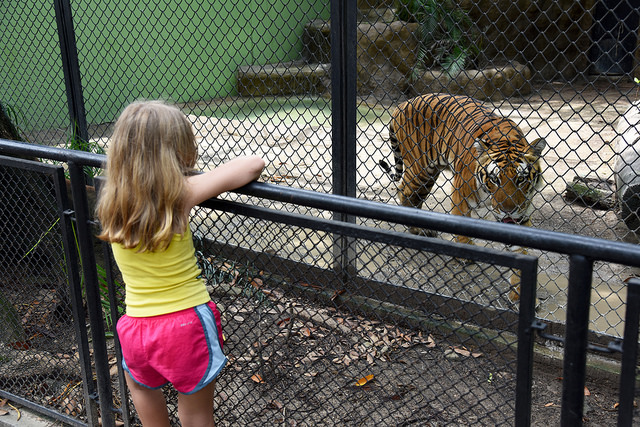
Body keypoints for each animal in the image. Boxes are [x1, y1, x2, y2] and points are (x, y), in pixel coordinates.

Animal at [380, 93, 544, 300]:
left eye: (521, 179)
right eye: (495, 179)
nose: (508, 211)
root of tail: (402, 104)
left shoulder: (520, 213)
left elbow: (521, 250)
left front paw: (519, 293)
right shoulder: (460, 192)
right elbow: (461, 222)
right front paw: (465, 254)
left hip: (428, 176)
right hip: (421, 169)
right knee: (404, 191)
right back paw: (417, 229)